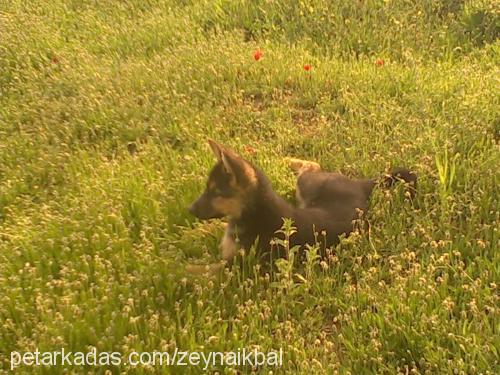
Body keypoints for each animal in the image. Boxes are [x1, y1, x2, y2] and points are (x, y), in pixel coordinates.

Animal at [189, 140, 416, 264]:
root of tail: (360, 185)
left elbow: (193, 272)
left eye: (215, 192)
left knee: (312, 165)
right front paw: (200, 231)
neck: (254, 210)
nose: (189, 210)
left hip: (307, 185)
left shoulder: (231, 266)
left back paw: (286, 160)